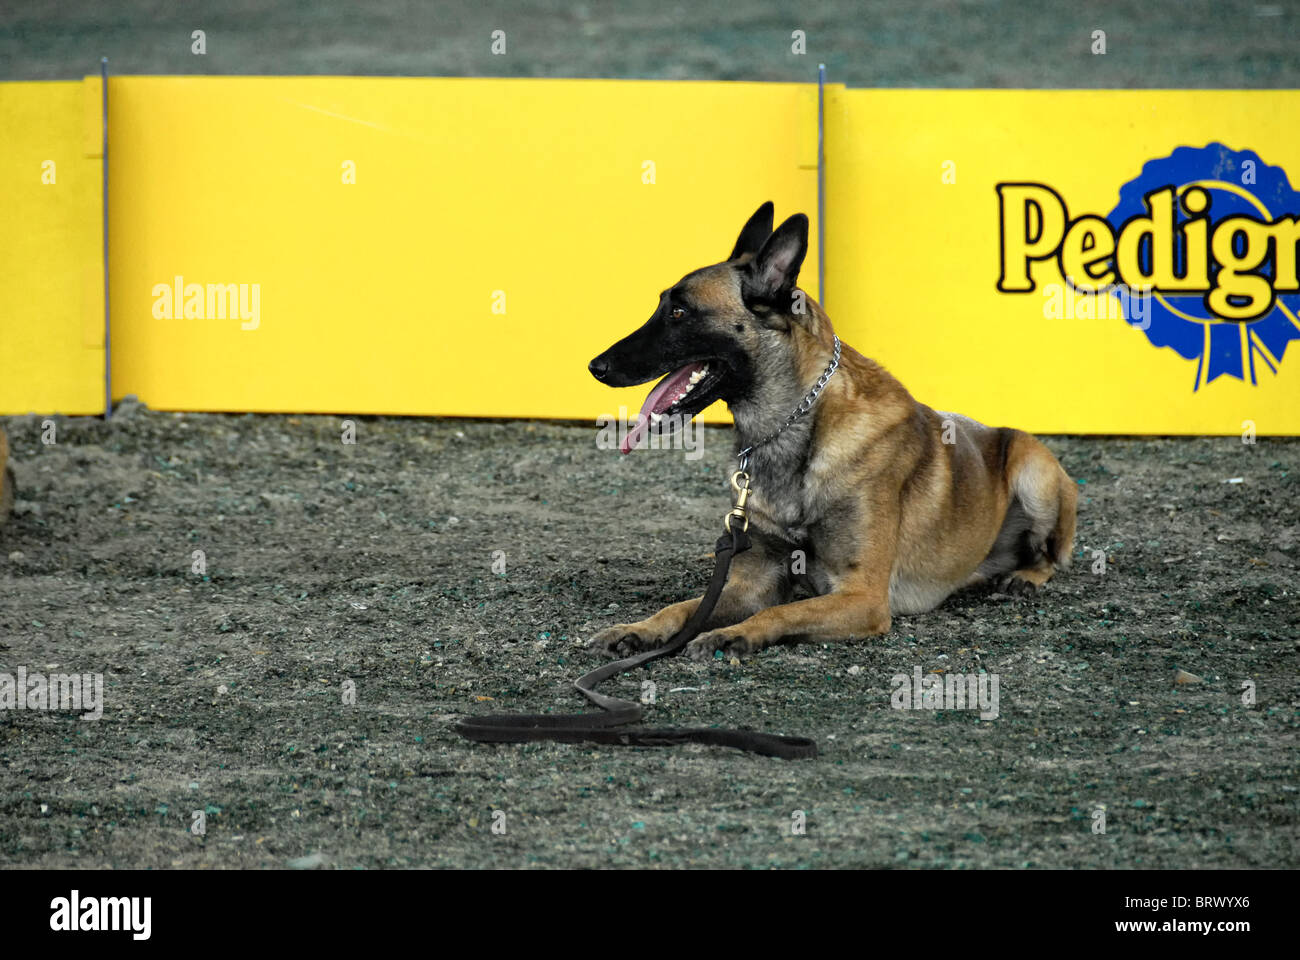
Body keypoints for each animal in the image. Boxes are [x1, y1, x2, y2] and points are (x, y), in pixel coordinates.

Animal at [590, 202, 1076, 660]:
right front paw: (638, 629)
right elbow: (684, 608)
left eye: (679, 311)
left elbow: (779, 612)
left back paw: (1024, 577)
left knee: (1052, 555)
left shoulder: (862, 596)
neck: (793, 426)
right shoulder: (754, 580)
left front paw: (731, 635)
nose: (596, 366)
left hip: (1033, 470)